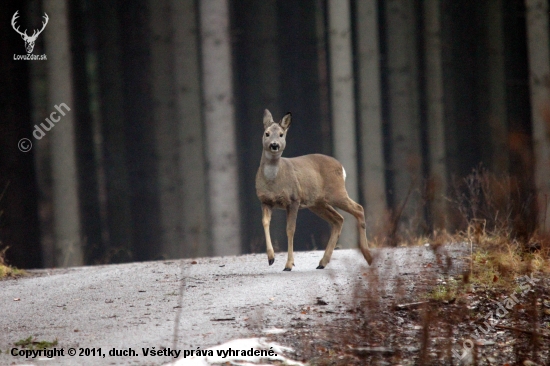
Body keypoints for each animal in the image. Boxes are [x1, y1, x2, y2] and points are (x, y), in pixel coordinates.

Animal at [258, 110, 376, 270]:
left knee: (358, 208)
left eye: (281, 134)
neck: (273, 181)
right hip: (317, 203)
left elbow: (290, 229)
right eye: (267, 133)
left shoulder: (294, 199)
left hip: (336, 192)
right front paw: (271, 258)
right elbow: (265, 223)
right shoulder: (265, 201)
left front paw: (289, 264)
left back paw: (368, 257)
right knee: (338, 219)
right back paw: (322, 262)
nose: (274, 145)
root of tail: (342, 168)